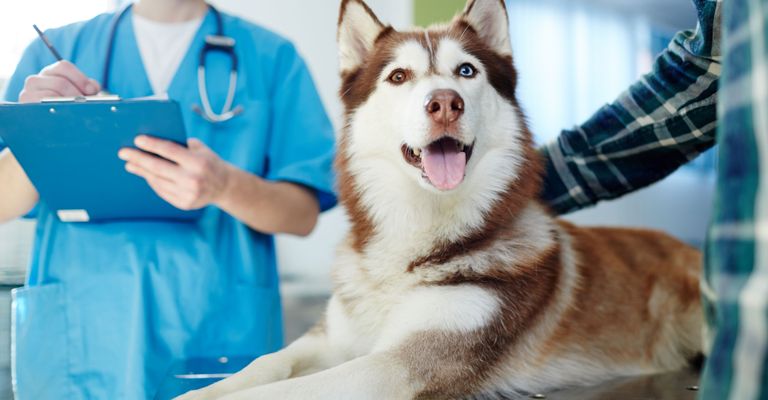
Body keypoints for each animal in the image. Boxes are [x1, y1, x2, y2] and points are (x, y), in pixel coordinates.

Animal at [178, 1, 704, 398]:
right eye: (398, 76)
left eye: (466, 71)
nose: (445, 102)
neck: (415, 236)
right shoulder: (331, 340)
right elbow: (263, 365)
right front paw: (202, 389)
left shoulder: (401, 362)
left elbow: (282, 391)